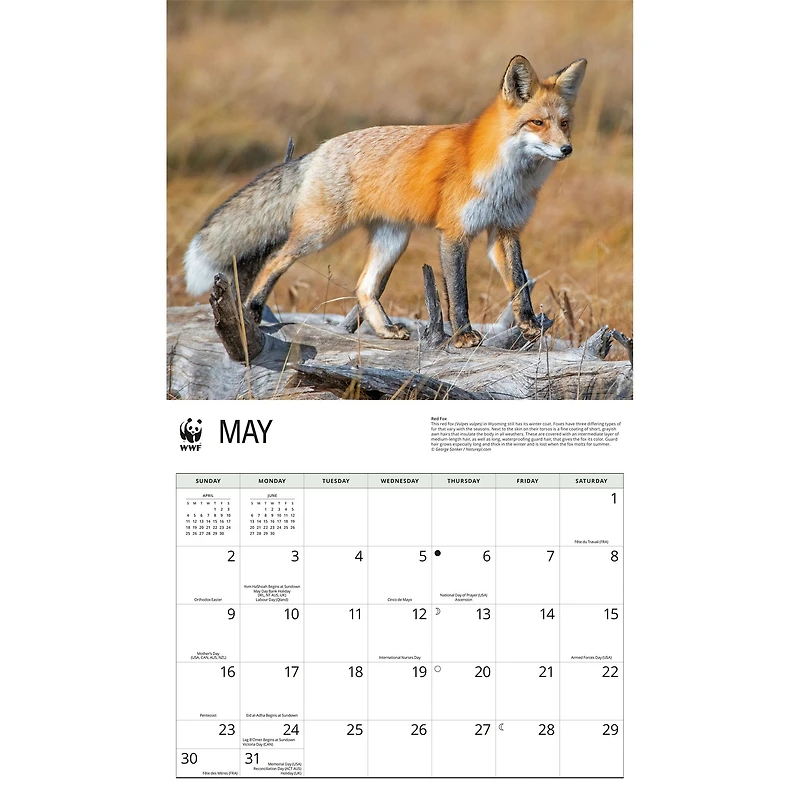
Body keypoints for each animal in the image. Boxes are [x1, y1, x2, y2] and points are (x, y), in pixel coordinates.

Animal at [184, 55, 587, 348]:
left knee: (363, 287)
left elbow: (518, 283)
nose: (567, 150)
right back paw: (252, 308)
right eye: (537, 123)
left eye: (564, 123)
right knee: (274, 259)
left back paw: (385, 330)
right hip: (320, 234)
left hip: (393, 240)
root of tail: (320, 149)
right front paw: (462, 335)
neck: (507, 178)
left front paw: (529, 324)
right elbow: (458, 292)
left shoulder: (504, 231)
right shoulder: (454, 232)